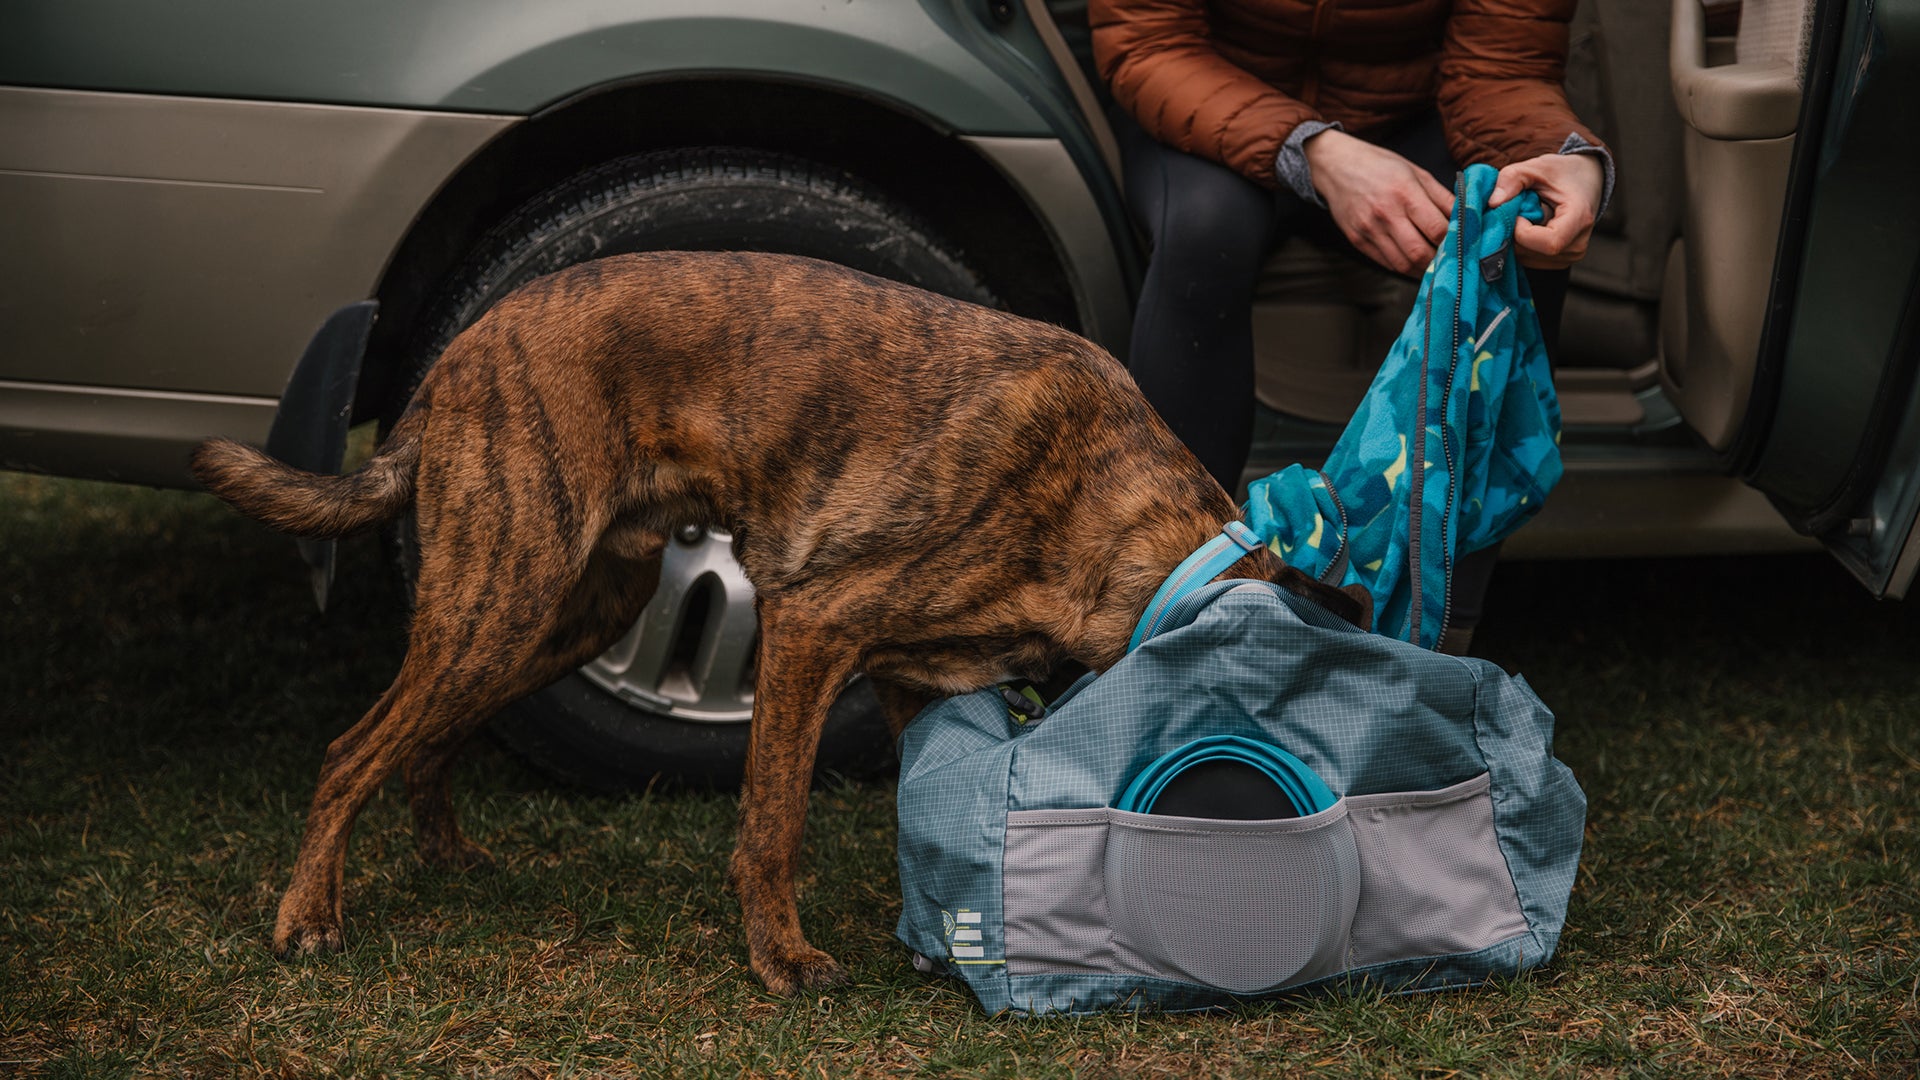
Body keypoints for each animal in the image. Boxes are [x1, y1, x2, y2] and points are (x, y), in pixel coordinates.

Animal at [191, 249, 1367, 991]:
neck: (1108, 504)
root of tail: (462, 351)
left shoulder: (909, 679)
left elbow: (922, 809)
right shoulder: (810, 629)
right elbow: (775, 821)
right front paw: (782, 960)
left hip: (564, 615)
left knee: (428, 737)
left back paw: (444, 854)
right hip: (501, 596)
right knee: (353, 749)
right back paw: (309, 916)